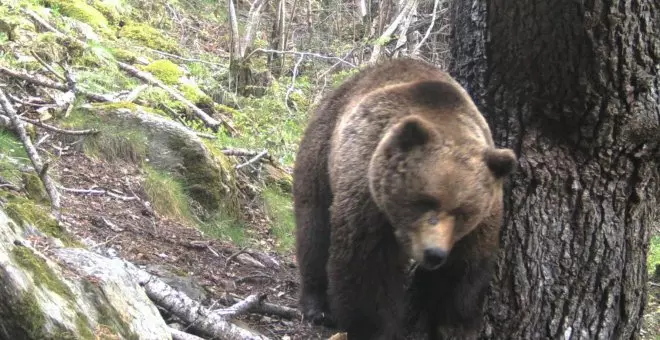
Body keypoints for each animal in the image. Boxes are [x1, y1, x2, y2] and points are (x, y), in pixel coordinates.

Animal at [294, 59, 516, 340]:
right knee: (314, 226)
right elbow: (368, 265)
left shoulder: (483, 219)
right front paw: (373, 326)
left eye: (463, 212)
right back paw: (317, 306)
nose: (434, 253)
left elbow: (464, 270)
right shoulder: (368, 192)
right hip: (323, 151)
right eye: (424, 201)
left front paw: (452, 326)